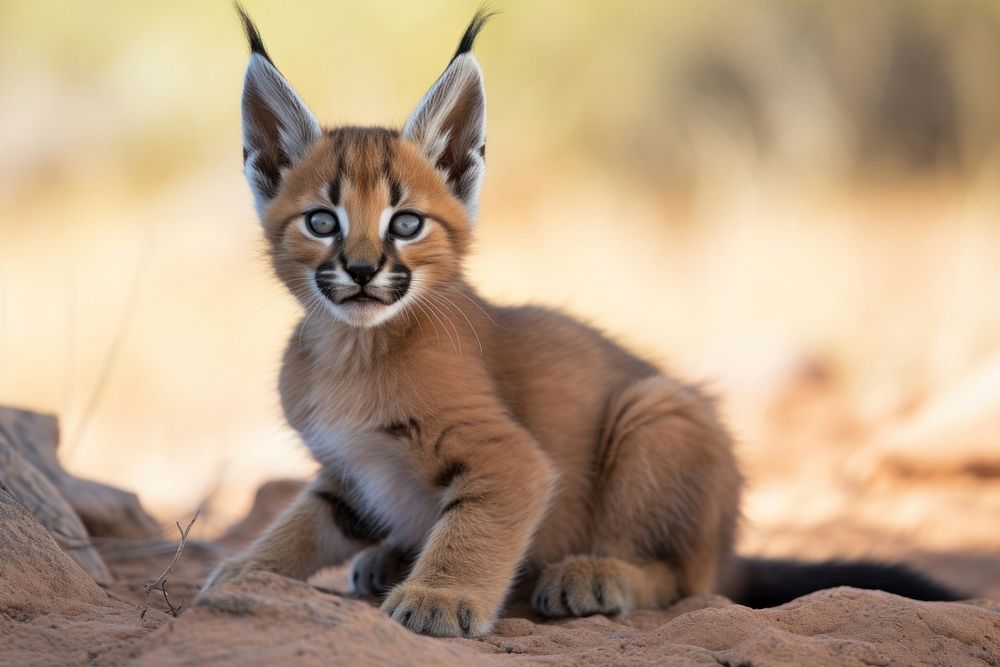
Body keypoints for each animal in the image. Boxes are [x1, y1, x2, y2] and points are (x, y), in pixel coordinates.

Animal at [203, 9, 960, 636]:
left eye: (407, 223)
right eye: (322, 222)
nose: (361, 270)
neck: (350, 345)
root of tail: (730, 544)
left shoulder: (510, 457)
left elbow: (472, 529)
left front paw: (441, 598)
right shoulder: (349, 470)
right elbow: (302, 523)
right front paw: (244, 572)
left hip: (655, 410)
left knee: (690, 579)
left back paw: (592, 575)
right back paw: (390, 558)